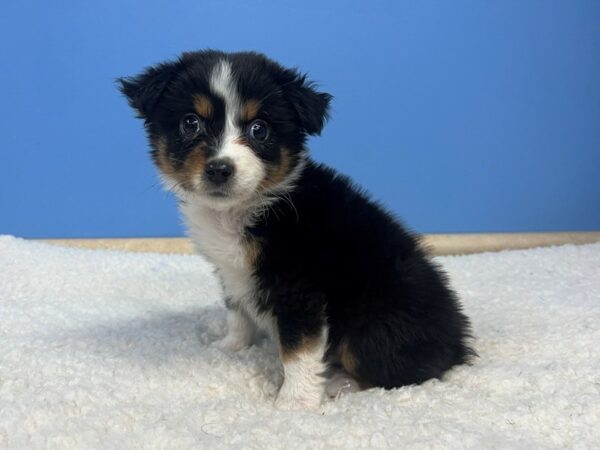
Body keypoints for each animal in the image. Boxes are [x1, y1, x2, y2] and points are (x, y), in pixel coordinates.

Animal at [119, 50, 476, 412]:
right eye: (190, 123)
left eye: (259, 129)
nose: (220, 169)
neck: (244, 210)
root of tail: (459, 345)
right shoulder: (231, 271)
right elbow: (237, 312)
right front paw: (231, 347)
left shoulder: (298, 287)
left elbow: (299, 351)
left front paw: (294, 403)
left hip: (377, 322)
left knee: (398, 371)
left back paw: (339, 384)